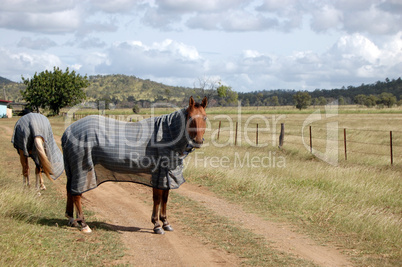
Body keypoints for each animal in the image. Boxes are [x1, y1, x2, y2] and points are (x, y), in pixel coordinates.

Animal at [63, 97, 207, 234]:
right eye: (190, 117)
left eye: (205, 117)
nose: (198, 141)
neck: (167, 134)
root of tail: (68, 131)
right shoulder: (158, 174)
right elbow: (157, 199)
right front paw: (157, 225)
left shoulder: (167, 175)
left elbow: (165, 199)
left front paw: (166, 223)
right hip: (81, 168)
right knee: (76, 194)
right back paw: (84, 224)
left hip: (73, 169)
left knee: (70, 191)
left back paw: (72, 220)